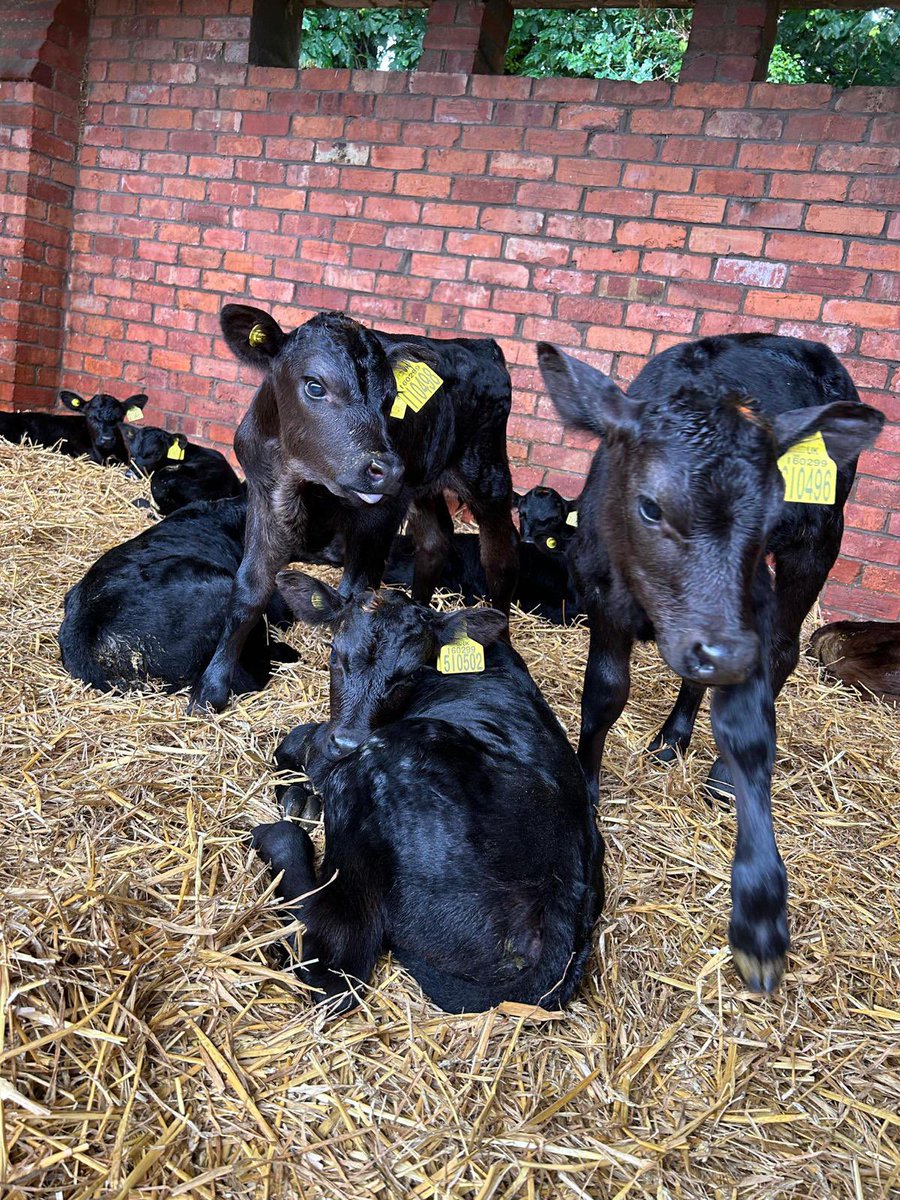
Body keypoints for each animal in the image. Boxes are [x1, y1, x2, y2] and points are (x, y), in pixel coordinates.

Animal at [189, 305, 518, 712]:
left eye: (391, 398)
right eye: (315, 386)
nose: (388, 469)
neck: (307, 483)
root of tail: (481, 344)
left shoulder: (376, 520)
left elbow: (354, 591)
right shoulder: (263, 497)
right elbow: (249, 590)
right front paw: (210, 689)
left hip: (486, 472)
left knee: (499, 557)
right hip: (422, 481)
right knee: (435, 540)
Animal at [252, 570, 603, 1016]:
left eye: (410, 674)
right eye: (334, 653)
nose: (346, 744)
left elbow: (297, 739)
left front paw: (299, 792)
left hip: (386, 759)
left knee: (337, 964)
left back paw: (278, 838)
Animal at [538, 332, 884, 993]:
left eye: (769, 512)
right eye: (650, 508)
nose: (725, 652)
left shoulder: (747, 608)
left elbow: (749, 731)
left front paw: (759, 911)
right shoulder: (603, 593)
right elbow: (605, 693)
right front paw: (587, 785)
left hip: (817, 541)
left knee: (783, 650)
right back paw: (673, 735)